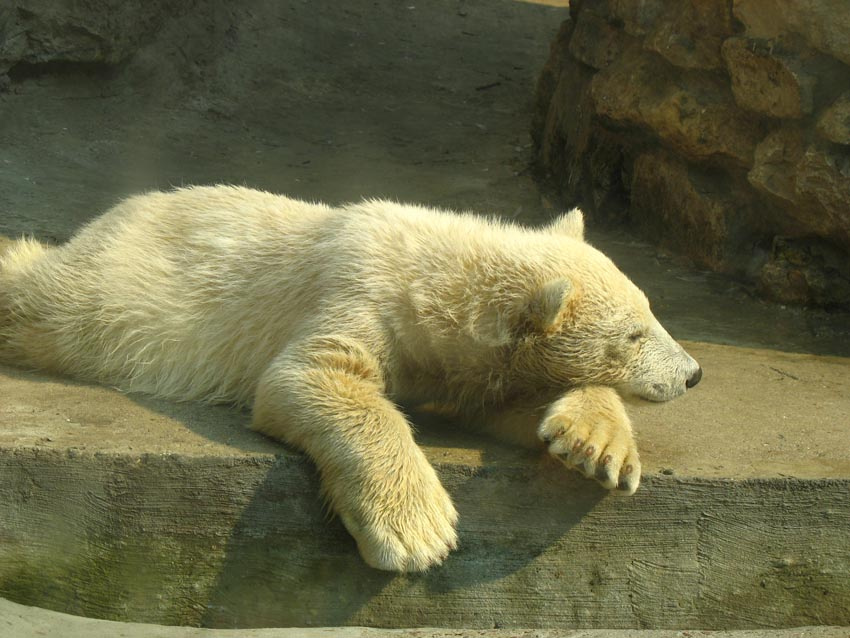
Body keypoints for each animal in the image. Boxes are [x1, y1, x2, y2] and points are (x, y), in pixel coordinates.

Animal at [0, 185, 702, 572]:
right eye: (633, 335)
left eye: (650, 311)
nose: (693, 374)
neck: (432, 275)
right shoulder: (358, 292)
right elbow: (312, 377)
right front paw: (419, 530)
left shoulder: (458, 362)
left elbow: (511, 400)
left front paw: (597, 447)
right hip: (111, 294)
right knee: (43, 298)